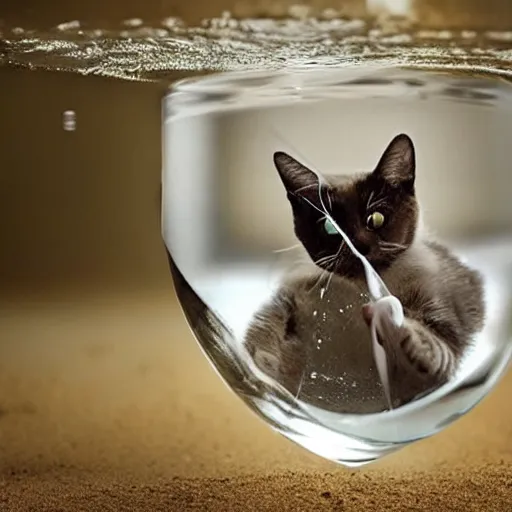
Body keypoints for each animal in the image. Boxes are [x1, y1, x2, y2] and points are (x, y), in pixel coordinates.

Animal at [242, 133, 486, 412]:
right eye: (330, 226)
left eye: (376, 218)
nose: (357, 245)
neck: (364, 288)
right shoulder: (293, 296)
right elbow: (268, 327)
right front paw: (265, 366)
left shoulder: (442, 308)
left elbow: (438, 350)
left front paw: (404, 331)